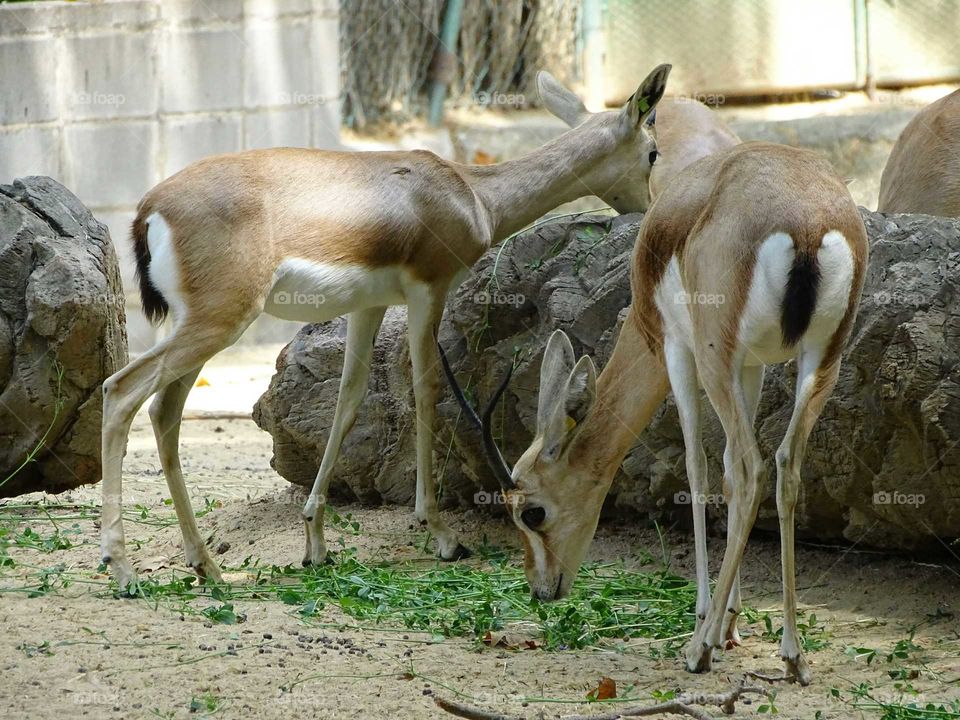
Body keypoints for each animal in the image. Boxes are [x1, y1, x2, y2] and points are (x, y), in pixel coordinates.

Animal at [97, 64, 673, 592]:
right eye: (653, 152)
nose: (649, 210)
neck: (472, 194)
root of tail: (149, 210)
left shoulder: (367, 307)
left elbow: (349, 401)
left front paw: (316, 542)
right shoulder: (427, 293)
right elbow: (424, 392)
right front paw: (441, 534)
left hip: (196, 326)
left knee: (164, 413)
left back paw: (207, 567)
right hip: (220, 322)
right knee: (120, 391)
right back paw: (123, 571)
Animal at [442, 141, 868, 685]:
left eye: (532, 512)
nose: (541, 589)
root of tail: (808, 222)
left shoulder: (675, 349)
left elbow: (699, 468)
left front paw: (707, 621)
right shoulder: (750, 365)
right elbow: (724, 471)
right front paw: (730, 622)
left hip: (714, 357)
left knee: (753, 469)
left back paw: (698, 650)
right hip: (821, 360)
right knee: (784, 465)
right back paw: (793, 656)